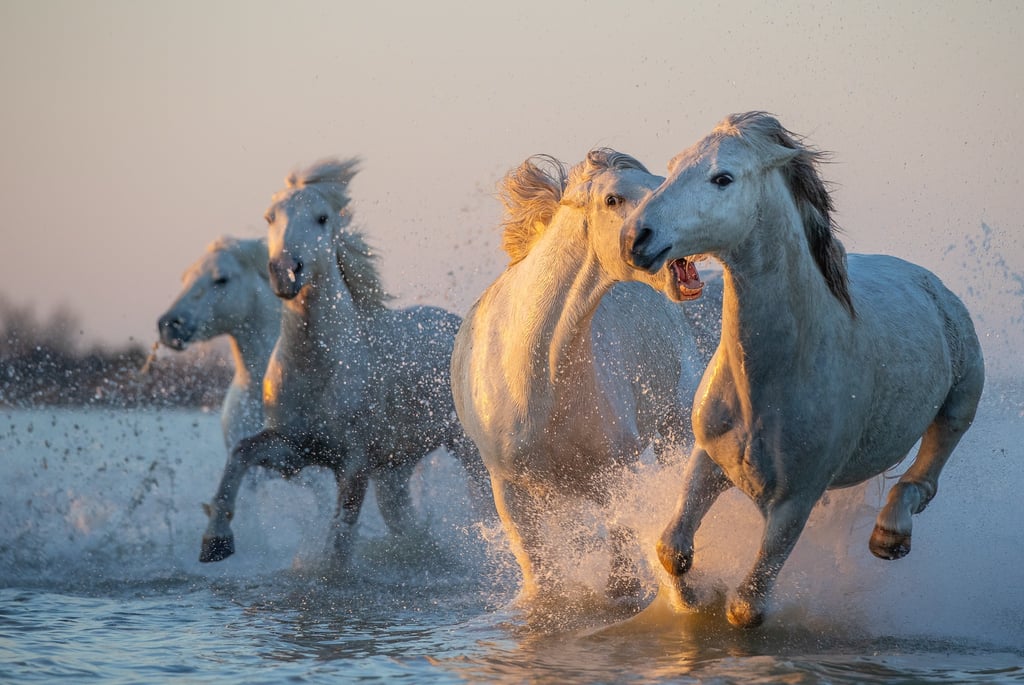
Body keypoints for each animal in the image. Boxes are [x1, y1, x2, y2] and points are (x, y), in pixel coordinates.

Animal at [199, 157, 490, 565]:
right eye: (270, 217)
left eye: (322, 218)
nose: (285, 272)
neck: (318, 368)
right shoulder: (295, 449)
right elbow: (241, 453)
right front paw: (215, 542)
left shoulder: (354, 464)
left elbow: (339, 540)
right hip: (396, 467)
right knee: (406, 522)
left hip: (464, 448)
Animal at [451, 150, 721, 606]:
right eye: (613, 199)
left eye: (661, 181)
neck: (541, 379)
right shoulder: (509, 488)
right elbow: (540, 576)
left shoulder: (618, 472)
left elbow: (623, 569)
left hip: (673, 428)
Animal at [621, 111, 985, 628]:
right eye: (673, 167)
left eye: (723, 178)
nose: (636, 238)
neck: (768, 383)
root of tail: (931, 285)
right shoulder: (708, 458)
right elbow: (673, 550)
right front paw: (692, 600)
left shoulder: (797, 500)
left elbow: (747, 608)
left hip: (961, 399)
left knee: (926, 474)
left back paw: (890, 536)